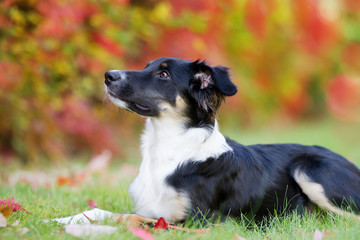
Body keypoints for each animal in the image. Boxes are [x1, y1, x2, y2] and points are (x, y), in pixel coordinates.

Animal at [104, 57, 360, 222]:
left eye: (164, 74)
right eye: (146, 66)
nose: (108, 75)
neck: (169, 149)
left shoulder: (199, 220)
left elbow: (136, 221)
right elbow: (121, 216)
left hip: (309, 170)